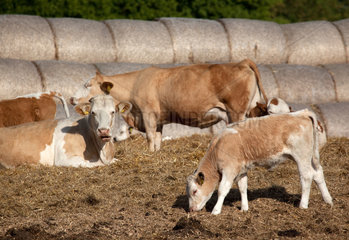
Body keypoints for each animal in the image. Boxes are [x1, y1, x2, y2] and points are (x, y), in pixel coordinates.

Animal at [70, 58, 266, 151]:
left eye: (87, 85)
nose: (72, 99)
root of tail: (241, 62)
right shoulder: (159, 120)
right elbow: (157, 139)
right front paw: (156, 153)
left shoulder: (148, 114)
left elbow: (150, 137)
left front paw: (149, 154)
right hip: (249, 110)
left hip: (236, 112)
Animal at [186, 109, 334, 215]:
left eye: (194, 191)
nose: (191, 209)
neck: (218, 147)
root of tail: (302, 113)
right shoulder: (241, 170)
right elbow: (242, 187)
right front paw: (244, 208)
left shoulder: (229, 170)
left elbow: (222, 189)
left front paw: (216, 211)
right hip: (312, 156)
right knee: (318, 173)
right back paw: (328, 200)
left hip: (301, 156)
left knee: (307, 176)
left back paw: (303, 205)